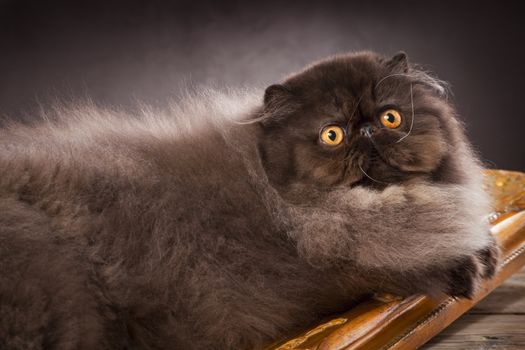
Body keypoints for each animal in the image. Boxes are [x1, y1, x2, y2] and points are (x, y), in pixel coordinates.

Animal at [0, 50, 496, 348]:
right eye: (331, 135)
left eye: (391, 118)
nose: (368, 132)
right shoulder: (331, 268)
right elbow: (388, 267)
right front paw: (466, 269)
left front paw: (486, 250)